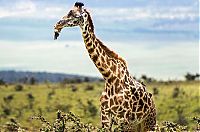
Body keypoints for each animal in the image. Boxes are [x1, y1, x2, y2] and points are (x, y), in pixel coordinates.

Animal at [54, 2, 157, 131]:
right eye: (68, 11)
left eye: (75, 15)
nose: (57, 25)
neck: (109, 78)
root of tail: (152, 101)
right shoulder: (106, 117)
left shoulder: (125, 119)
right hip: (137, 124)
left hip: (149, 122)